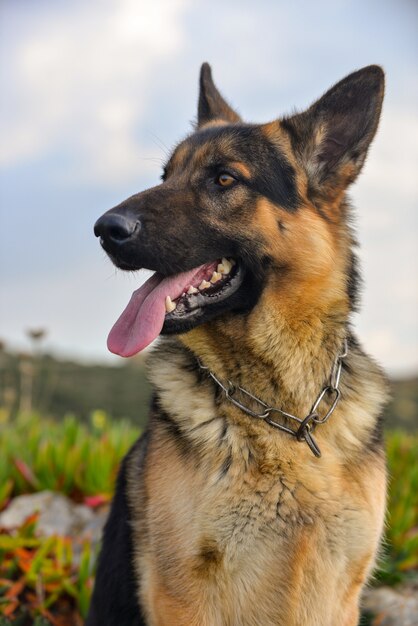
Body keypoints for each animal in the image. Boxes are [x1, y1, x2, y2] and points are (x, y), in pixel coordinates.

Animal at [88, 64, 388, 624]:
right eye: (165, 176)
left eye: (224, 179)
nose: (103, 229)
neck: (283, 415)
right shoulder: (184, 596)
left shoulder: (342, 594)